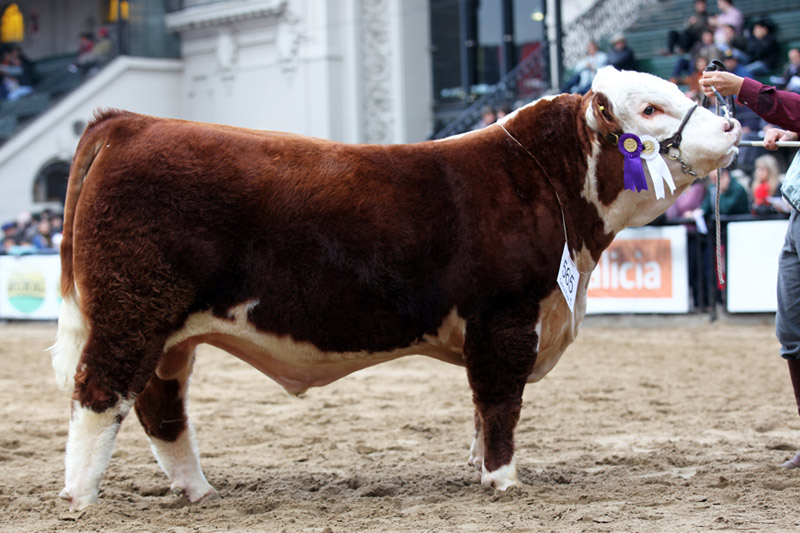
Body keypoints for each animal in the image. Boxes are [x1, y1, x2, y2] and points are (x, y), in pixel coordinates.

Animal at [48, 66, 736, 508]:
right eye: (649, 109)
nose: (731, 129)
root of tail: (129, 123)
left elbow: (481, 407)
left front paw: (479, 470)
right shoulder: (507, 316)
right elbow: (500, 403)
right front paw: (504, 482)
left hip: (170, 335)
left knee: (160, 409)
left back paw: (198, 492)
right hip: (132, 314)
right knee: (100, 394)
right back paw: (81, 500)